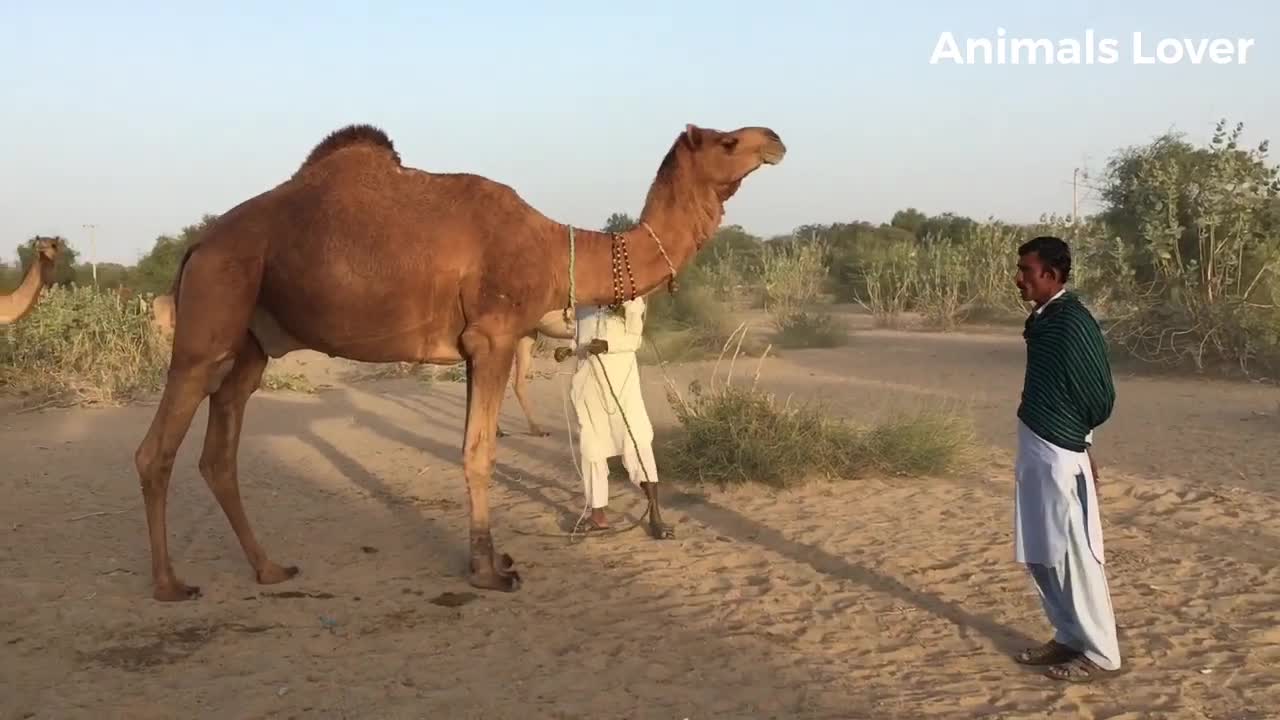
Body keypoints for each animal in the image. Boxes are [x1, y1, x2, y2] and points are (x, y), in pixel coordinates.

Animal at [135, 120, 783, 597]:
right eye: (727, 141)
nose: (774, 138)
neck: (556, 248)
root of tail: (198, 245)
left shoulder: (477, 348)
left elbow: (474, 448)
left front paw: (489, 562)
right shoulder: (493, 338)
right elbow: (480, 454)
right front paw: (491, 572)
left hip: (251, 343)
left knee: (220, 451)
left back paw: (269, 568)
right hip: (211, 316)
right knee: (156, 450)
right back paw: (170, 584)